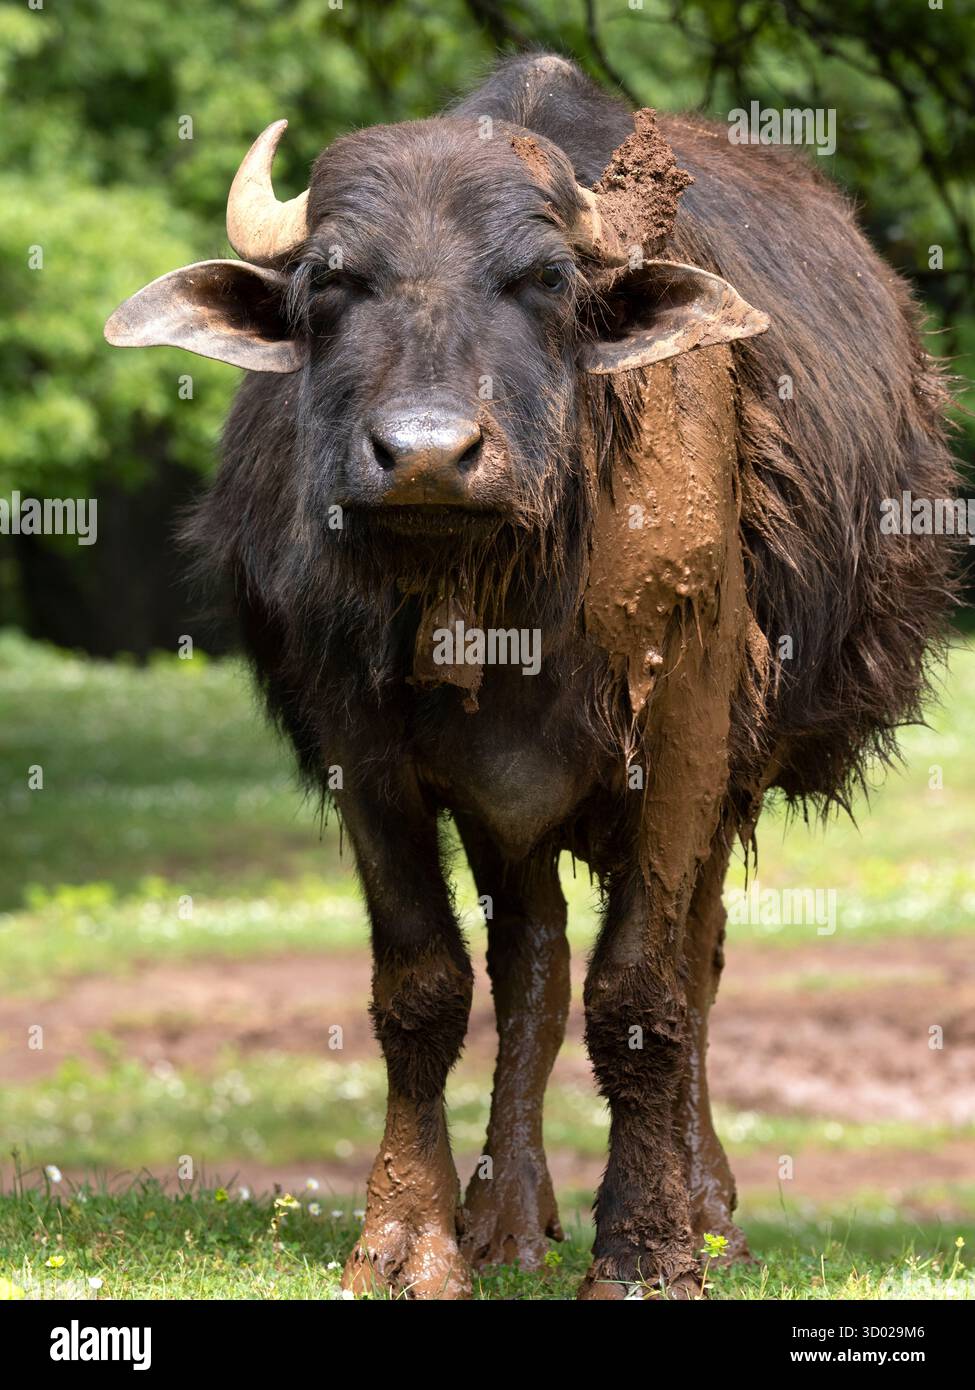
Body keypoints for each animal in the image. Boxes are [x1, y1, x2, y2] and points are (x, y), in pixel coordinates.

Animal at [106, 54, 957, 1299]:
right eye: (330, 280)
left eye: (546, 279)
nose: (424, 454)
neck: (503, 595)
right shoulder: (365, 752)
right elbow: (425, 986)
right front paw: (408, 1239)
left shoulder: (685, 731)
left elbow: (646, 994)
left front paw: (648, 1249)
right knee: (533, 968)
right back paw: (507, 1216)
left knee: (694, 961)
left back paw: (709, 1210)